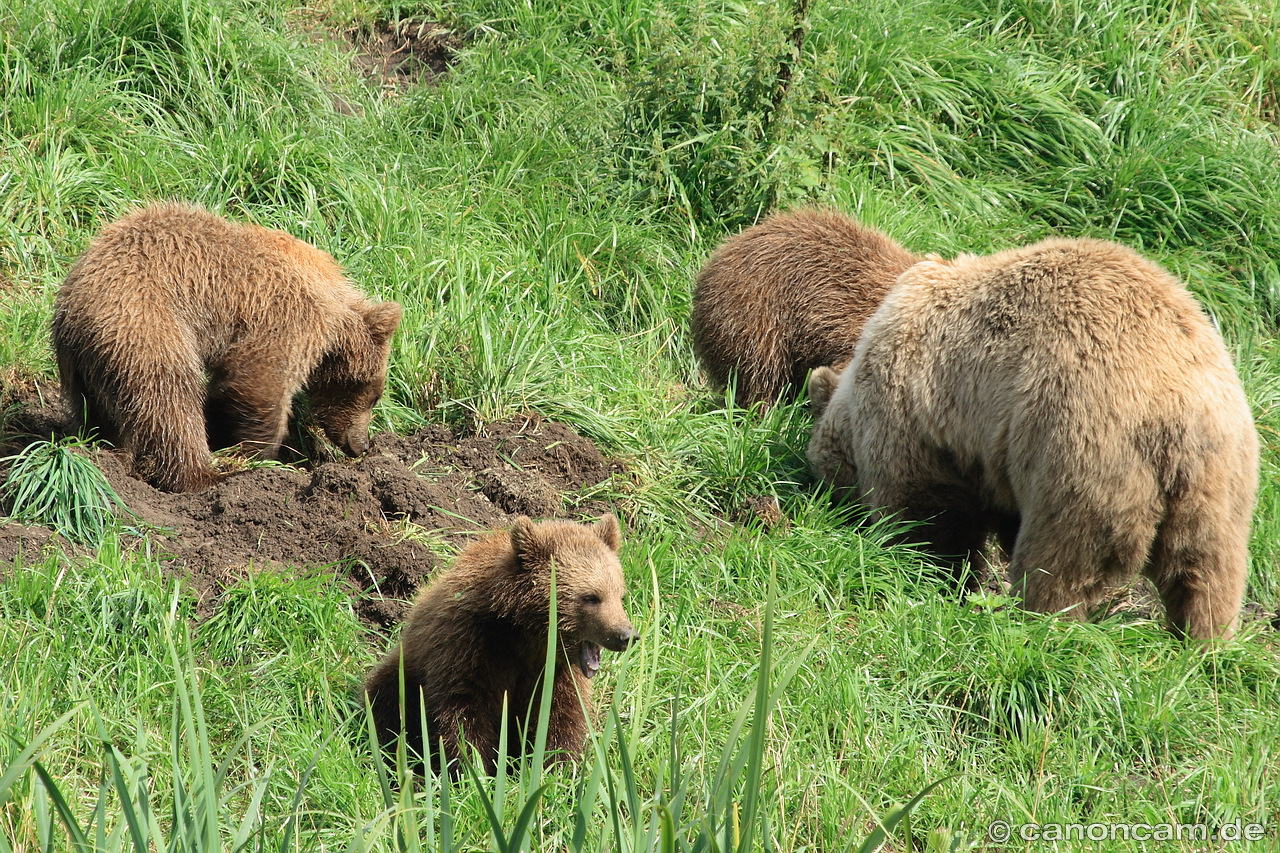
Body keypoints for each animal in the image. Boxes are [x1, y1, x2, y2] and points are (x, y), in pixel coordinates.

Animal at [51, 201, 399, 491]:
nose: (361, 445)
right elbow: (260, 381)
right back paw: (205, 474)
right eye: (374, 396)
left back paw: (110, 453)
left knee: (100, 410)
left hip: (82, 361)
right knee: (169, 399)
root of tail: (74, 306)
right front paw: (261, 456)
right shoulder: (287, 316)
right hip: (146, 325)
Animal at [366, 507, 634, 773]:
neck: (526, 636)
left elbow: (560, 716)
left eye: (619, 594)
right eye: (591, 597)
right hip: (405, 673)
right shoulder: (469, 645)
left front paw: (557, 766)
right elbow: (464, 710)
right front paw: (474, 767)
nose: (626, 635)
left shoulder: (557, 673)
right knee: (386, 703)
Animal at [808, 235, 1259, 635]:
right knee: (1208, 575)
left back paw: (1037, 623)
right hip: (1223, 487)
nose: (826, 508)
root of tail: (1179, 422)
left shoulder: (918, 415)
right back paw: (1204, 642)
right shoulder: (993, 452)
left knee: (1057, 565)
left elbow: (928, 513)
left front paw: (930, 572)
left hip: (1083, 458)